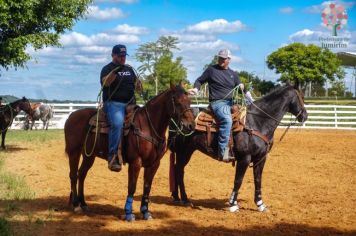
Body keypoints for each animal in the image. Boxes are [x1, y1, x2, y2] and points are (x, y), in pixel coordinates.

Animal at [64, 83, 195, 221]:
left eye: (189, 101)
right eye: (178, 102)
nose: (191, 125)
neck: (148, 126)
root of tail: (71, 116)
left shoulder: (154, 164)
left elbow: (147, 187)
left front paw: (145, 212)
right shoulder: (135, 162)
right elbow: (132, 187)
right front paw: (128, 213)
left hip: (89, 156)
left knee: (82, 174)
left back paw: (83, 203)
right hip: (74, 152)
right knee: (73, 175)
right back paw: (76, 205)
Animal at [168, 84, 308, 212]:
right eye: (300, 97)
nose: (305, 116)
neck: (257, 122)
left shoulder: (261, 159)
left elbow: (258, 180)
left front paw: (260, 204)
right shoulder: (244, 158)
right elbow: (238, 181)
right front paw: (233, 204)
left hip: (187, 151)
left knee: (178, 170)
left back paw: (177, 197)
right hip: (183, 151)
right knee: (179, 170)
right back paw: (185, 199)